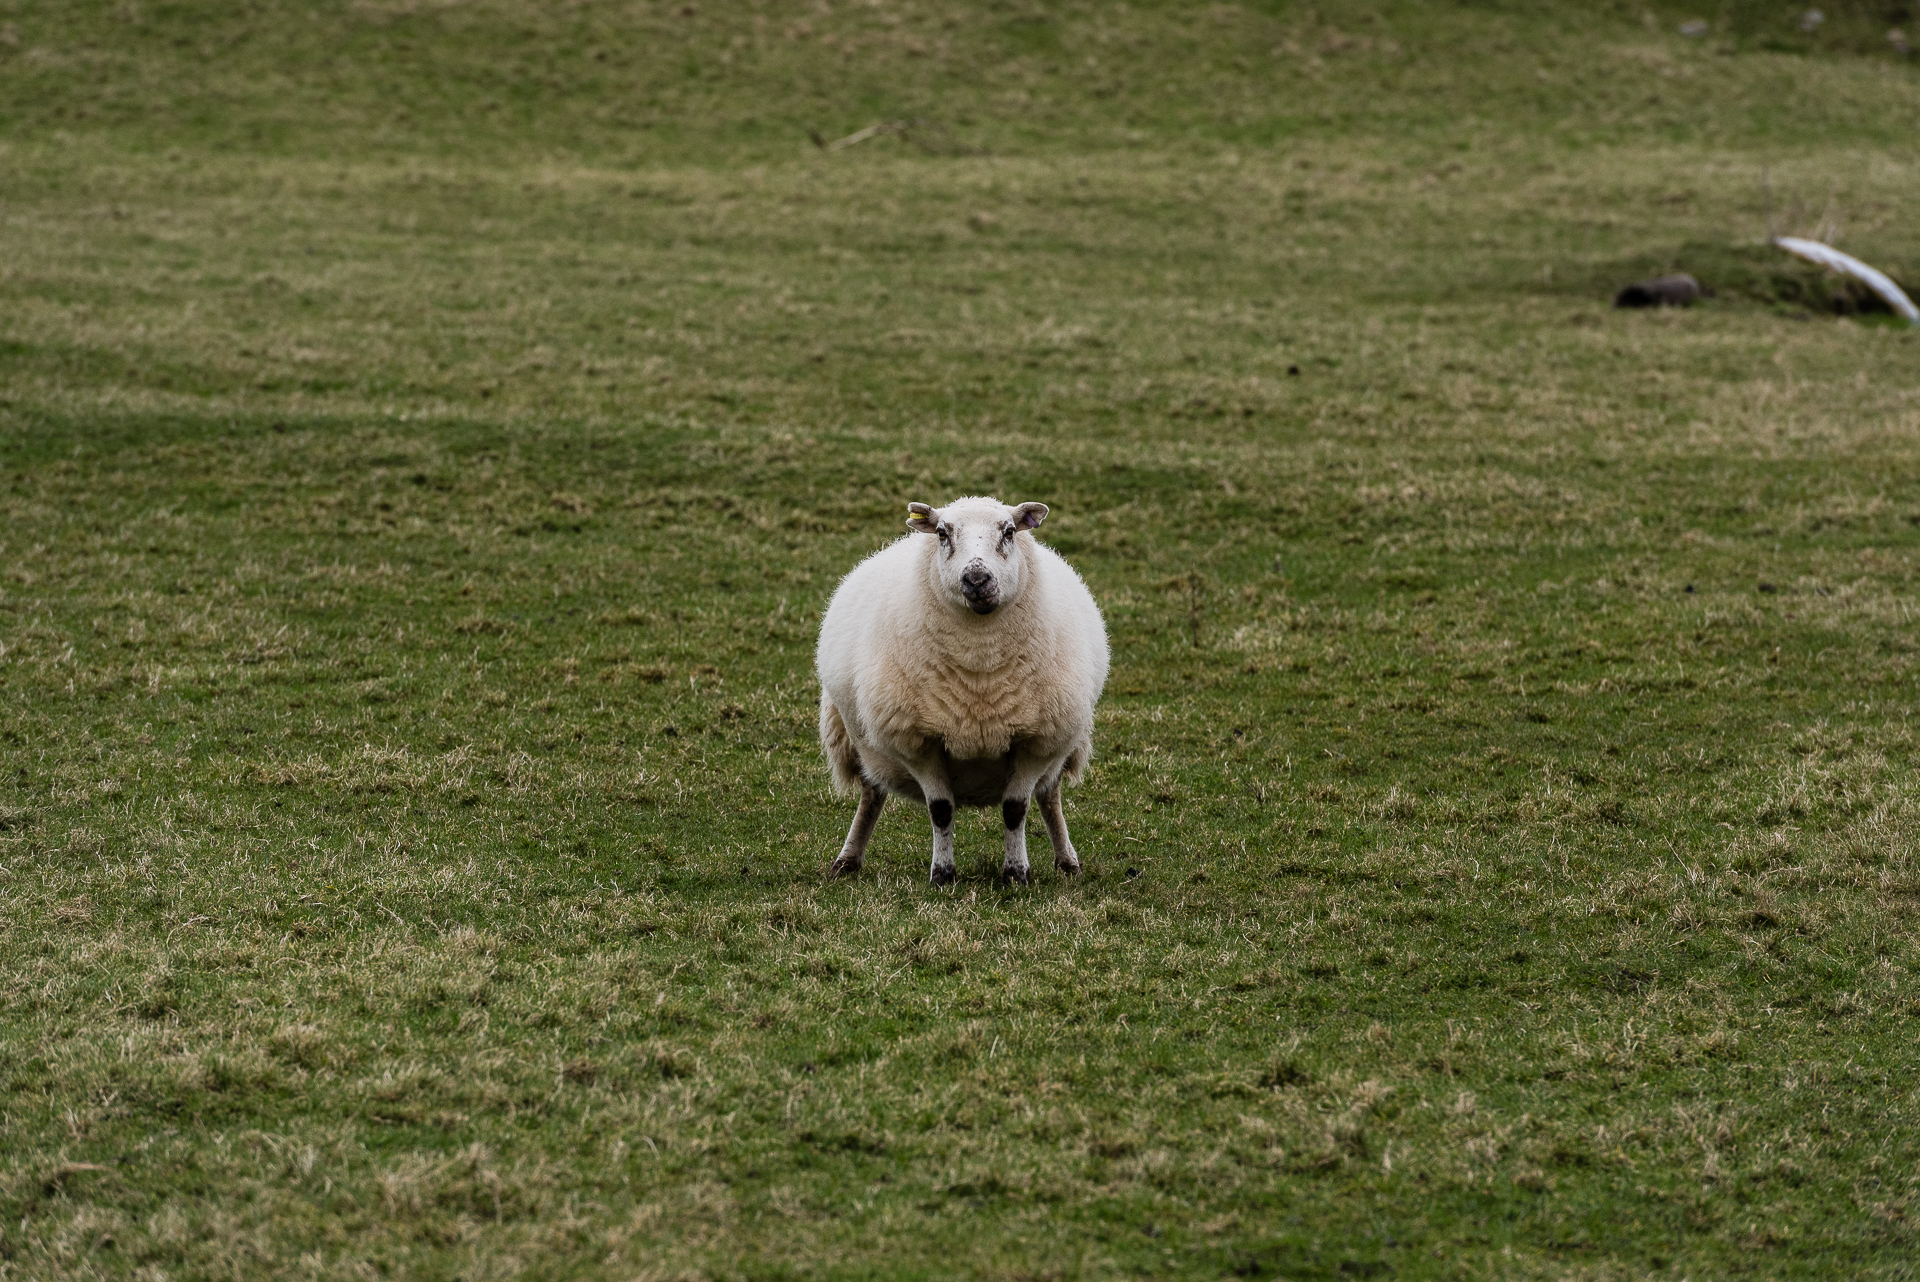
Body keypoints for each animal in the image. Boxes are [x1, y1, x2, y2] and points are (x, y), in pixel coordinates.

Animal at [814, 495, 1113, 886]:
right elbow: (941, 810)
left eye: (1009, 531)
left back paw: (1067, 862)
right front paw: (942, 874)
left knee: (1049, 797)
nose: (976, 578)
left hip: (1060, 747)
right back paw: (848, 860)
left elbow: (1016, 809)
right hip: (862, 742)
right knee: (872, 794)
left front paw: (1016, 874)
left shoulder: (1036, 741)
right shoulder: (919, 741)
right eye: (942, 533)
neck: (979, 669)